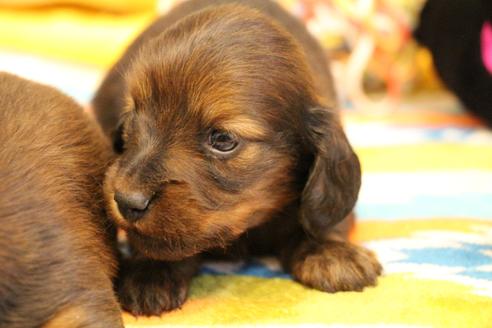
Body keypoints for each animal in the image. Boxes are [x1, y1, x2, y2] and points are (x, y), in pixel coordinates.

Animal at [93, 0, 384, 316]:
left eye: (222, 139)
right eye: (133, 117)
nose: (126, 201)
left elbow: (323, 215)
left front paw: (330, 252)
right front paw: (152, 271)